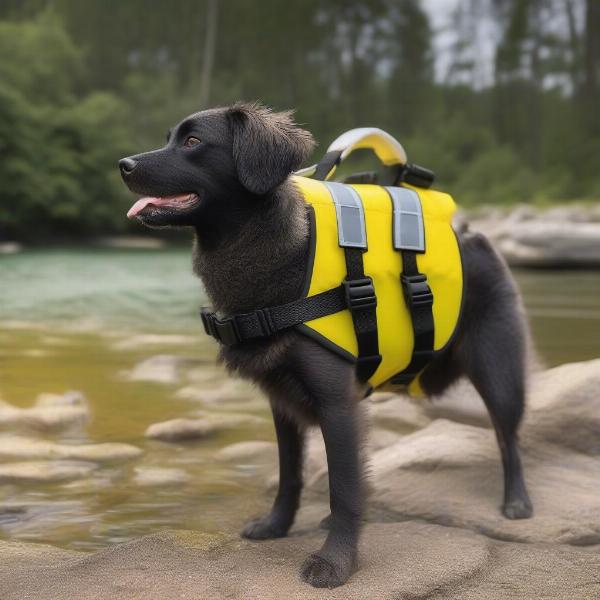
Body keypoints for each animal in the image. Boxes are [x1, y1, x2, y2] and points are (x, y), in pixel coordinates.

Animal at [119, 103, 532, 584]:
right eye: (168, 138)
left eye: (192, 142)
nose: (123, 164)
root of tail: (474, 235)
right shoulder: (281, 403)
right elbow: (290, 474)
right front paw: (277, 525)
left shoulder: (338, 404)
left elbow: (345, 488)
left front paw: (335, 561)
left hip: (500, 372)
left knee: (508, 437)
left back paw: (517, 501)